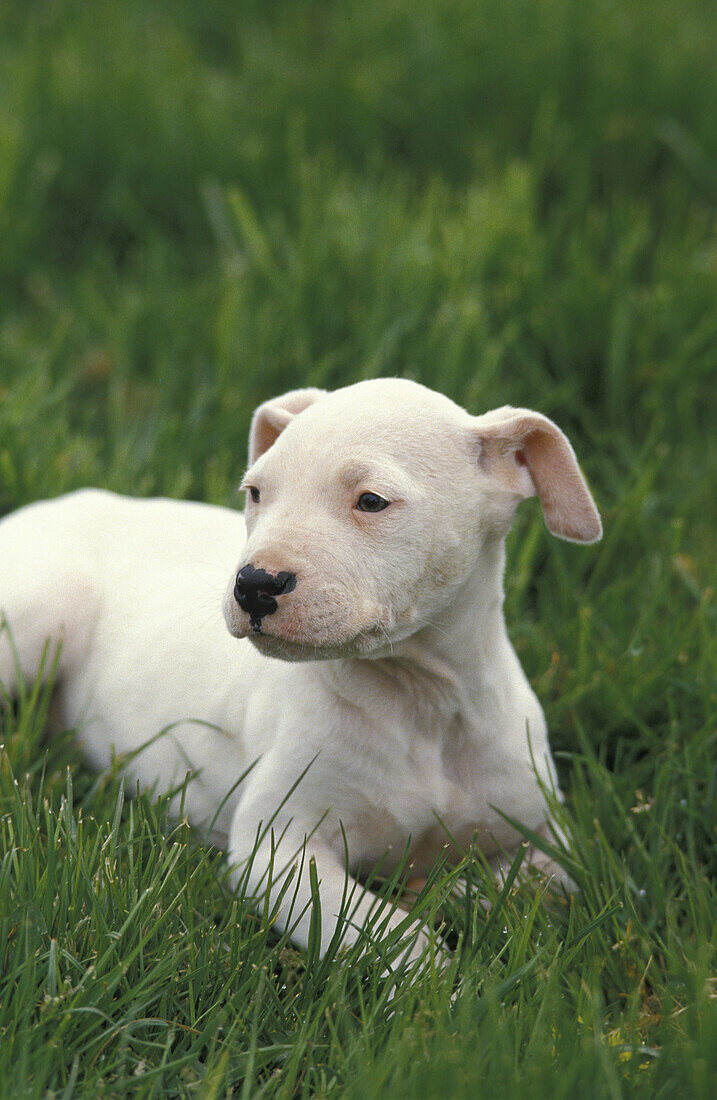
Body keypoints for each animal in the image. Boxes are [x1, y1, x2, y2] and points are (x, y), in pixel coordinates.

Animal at [0, 380, 598, 972]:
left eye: (372, 501)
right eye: (256, 493)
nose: (253, 584)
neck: (422, 699)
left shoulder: (549, 833)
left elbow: (543, 882)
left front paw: (449, 895)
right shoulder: (279, 851)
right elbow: (394, 936)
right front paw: (439, 982)